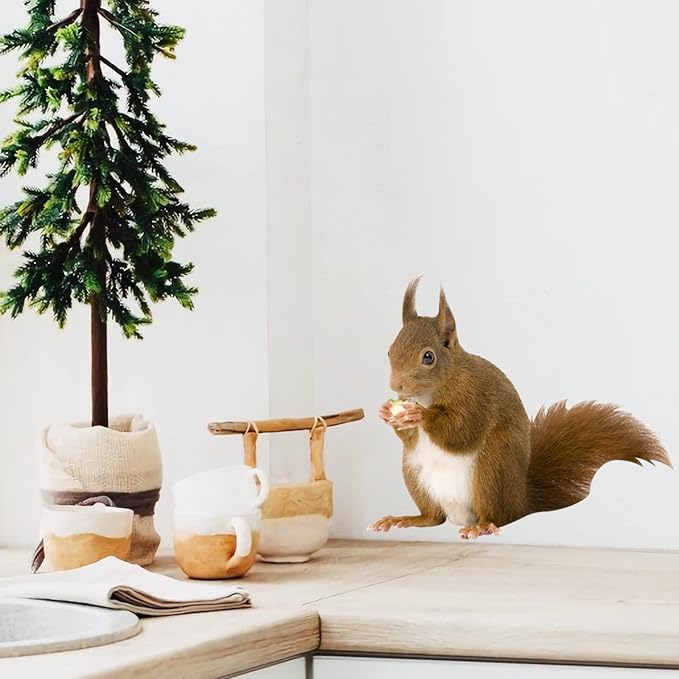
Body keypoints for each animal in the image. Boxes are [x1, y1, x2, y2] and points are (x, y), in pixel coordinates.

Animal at [369, 277, 671, 539]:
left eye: (428, 357)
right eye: (389, 351)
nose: (396, 385)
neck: (430, 392)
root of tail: (521, 501)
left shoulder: (474, 395)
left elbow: (461, 430)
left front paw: (418, 415)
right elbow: (410, 437)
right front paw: (388, 414)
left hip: (492, 470)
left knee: (497, 516)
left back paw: (481, 526)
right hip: (414, 473)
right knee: (433, 518)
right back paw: (403, 519)